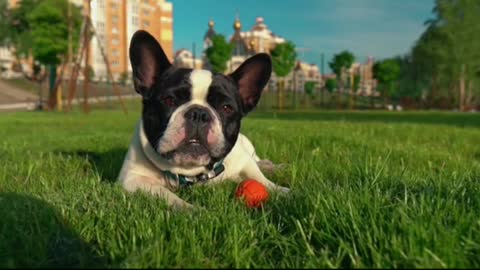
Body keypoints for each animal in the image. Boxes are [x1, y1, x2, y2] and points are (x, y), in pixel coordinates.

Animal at [117, 30, 288, 209]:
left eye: (226, 108)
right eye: (169, 100)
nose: (199, 113)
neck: (191, 173)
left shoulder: (243, 160)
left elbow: (260, 178)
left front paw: (284, 192)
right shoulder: (132, 179)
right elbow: (163, 193)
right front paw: (190, 209)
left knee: (257, 161)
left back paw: (272, 166)